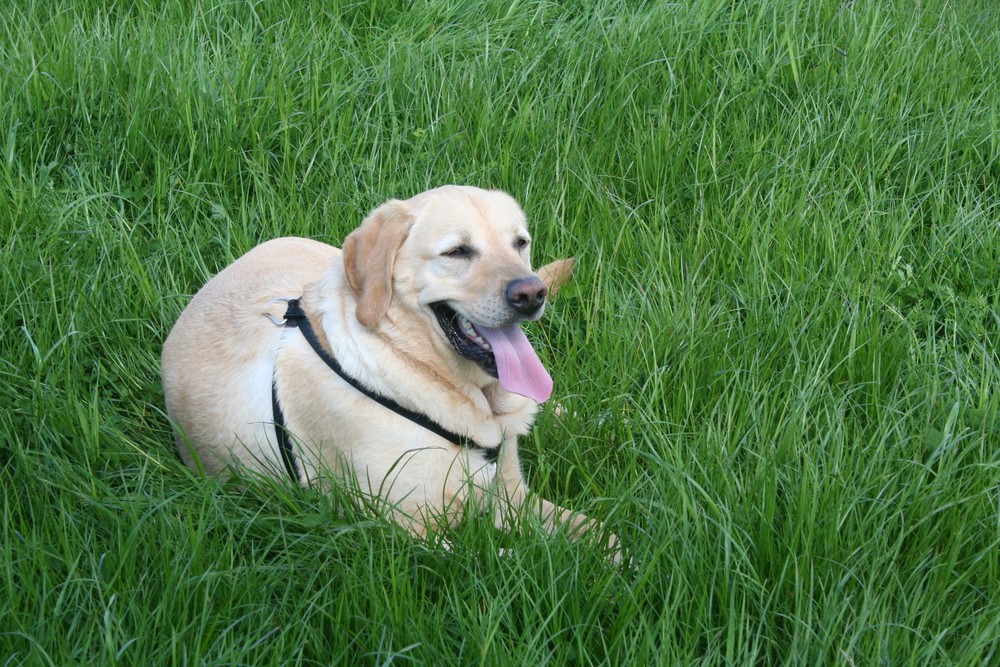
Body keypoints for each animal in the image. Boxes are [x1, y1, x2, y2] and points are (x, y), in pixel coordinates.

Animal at [161, 185, 612, 552]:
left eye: (520, 243)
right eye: (457, 252)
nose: (532, 292)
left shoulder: (512, 493)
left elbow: (603, 536)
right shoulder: (407, 534)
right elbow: (494, 561)